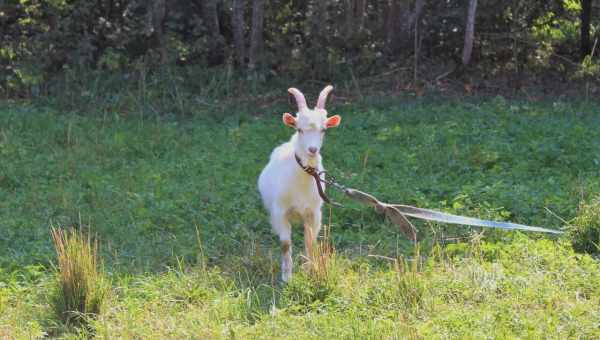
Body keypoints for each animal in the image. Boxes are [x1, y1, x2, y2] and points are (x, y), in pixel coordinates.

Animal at [258, 85, 342, 282]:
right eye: (299, 129)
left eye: (324, 129)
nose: (312, 149)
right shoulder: (280, 212)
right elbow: (285, 244)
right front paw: (286, 277)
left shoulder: (313, 213)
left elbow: (310, 243)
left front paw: (311, 270)